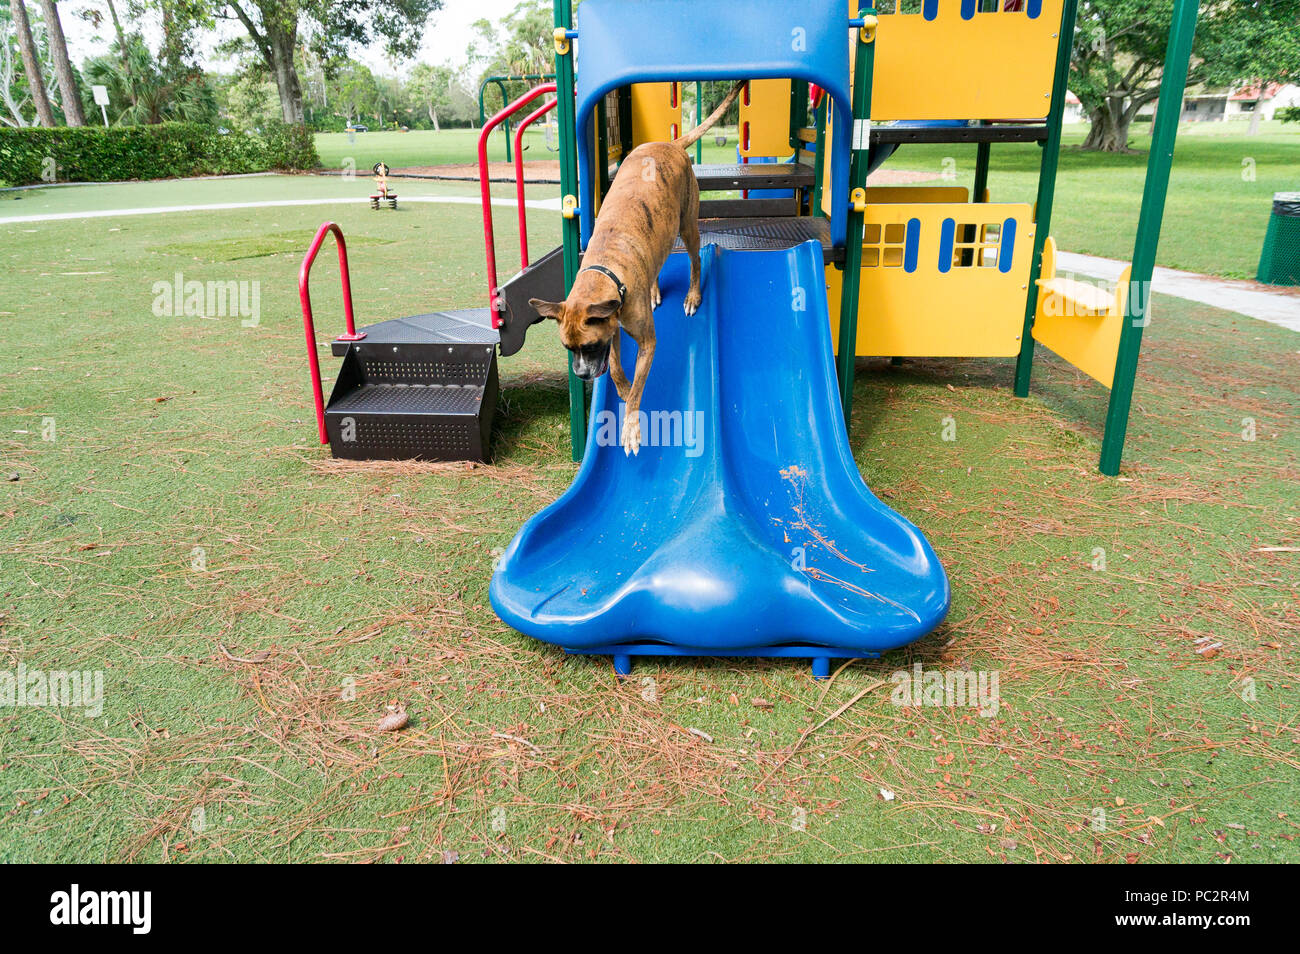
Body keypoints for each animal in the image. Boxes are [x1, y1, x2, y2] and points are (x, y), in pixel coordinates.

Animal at [530, 78, 743, 460]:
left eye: (588, 347)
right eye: (569, 349)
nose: (581, 375)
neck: (604, 269)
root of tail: (670, 143)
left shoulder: (646, 342)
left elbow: (639, 384)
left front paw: (631, 423)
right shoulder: (611, 327)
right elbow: (616, 368)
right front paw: (623, 388)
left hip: (687, 224)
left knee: (694, 259)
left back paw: (692, 294)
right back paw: (656, 289)